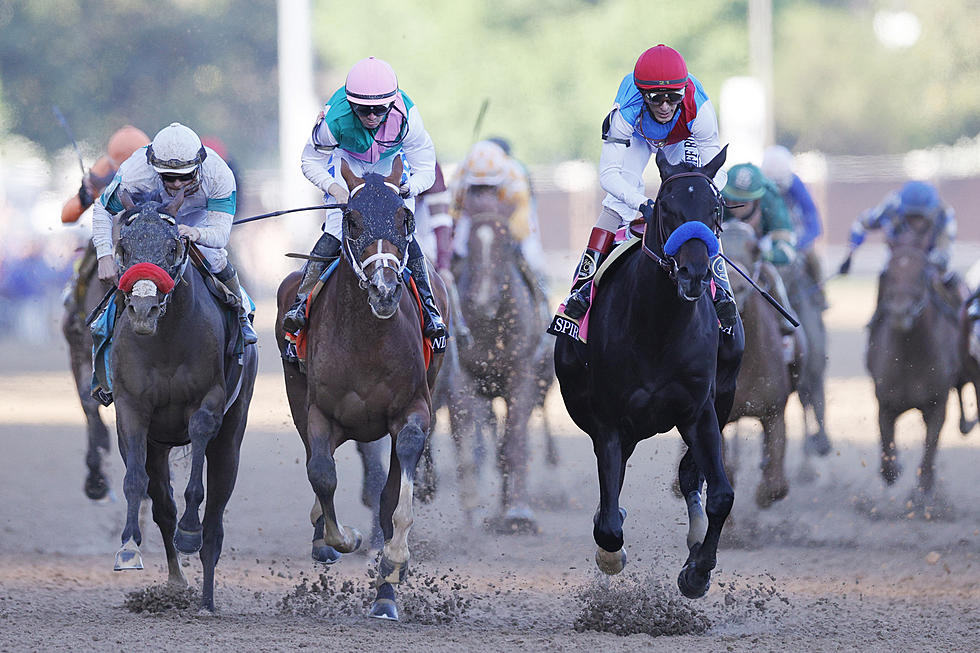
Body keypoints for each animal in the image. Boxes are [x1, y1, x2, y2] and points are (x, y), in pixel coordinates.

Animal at [109, 188, 258, 612]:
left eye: (173, 246)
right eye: (124, 246)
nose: (143, 309)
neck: (166, 341)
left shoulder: (209, 399)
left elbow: (199, 468)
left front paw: (190, 530)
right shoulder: (131, 408)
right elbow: (135, 480)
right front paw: (128, 548)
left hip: (232, 437)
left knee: (216, 521)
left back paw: (206, 599)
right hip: (158, 446)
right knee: (162, 504)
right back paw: (177, 582)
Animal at [274, 159, 446, 620]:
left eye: (404, 218)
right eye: (351, 218)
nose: (385, 289)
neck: (369, 339)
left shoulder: (414, 408)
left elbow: (396, 487)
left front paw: (394, 561)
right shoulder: (319, 412)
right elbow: (321, 472)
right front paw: (341, 537)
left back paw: (386, 593)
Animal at [552, 148, 744, 596]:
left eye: (715, 209)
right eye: (668, 208)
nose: (695, 273)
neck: (659, 327)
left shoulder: (699, 412)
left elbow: (721, 495)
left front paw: (697, 572)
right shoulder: (607, 421)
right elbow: (607, 524)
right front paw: (611, 556)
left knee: (689, 475)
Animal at [868, 239, 960, 494]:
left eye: (921, 274)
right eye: (888, 273)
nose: (901, 312)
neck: (910, 359)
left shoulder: (937, 404)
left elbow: (931, 447)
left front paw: (923, 491)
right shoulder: (886, 404)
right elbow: (887, 450)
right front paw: (894, 467)